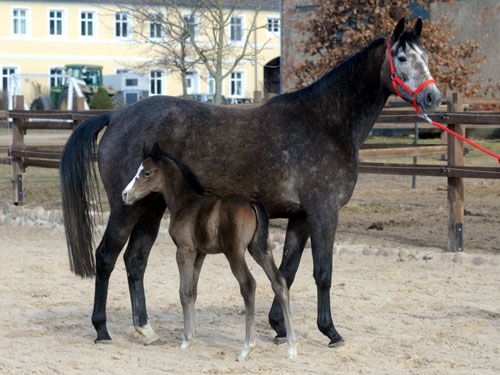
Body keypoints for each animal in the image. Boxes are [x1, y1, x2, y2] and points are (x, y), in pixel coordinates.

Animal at [122, 143, 296, 362]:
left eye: (146, 172)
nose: (125, 195)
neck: (184, 204)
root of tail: (251, 203)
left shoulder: (184, 250)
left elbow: (184, 291)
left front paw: (186, 340)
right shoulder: (200, 254)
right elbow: (192, 291)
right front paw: (192, 336)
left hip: (234, 253)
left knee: (248, 285)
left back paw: (247, 348)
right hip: (259, 249)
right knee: (279, 282)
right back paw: (292, 347)